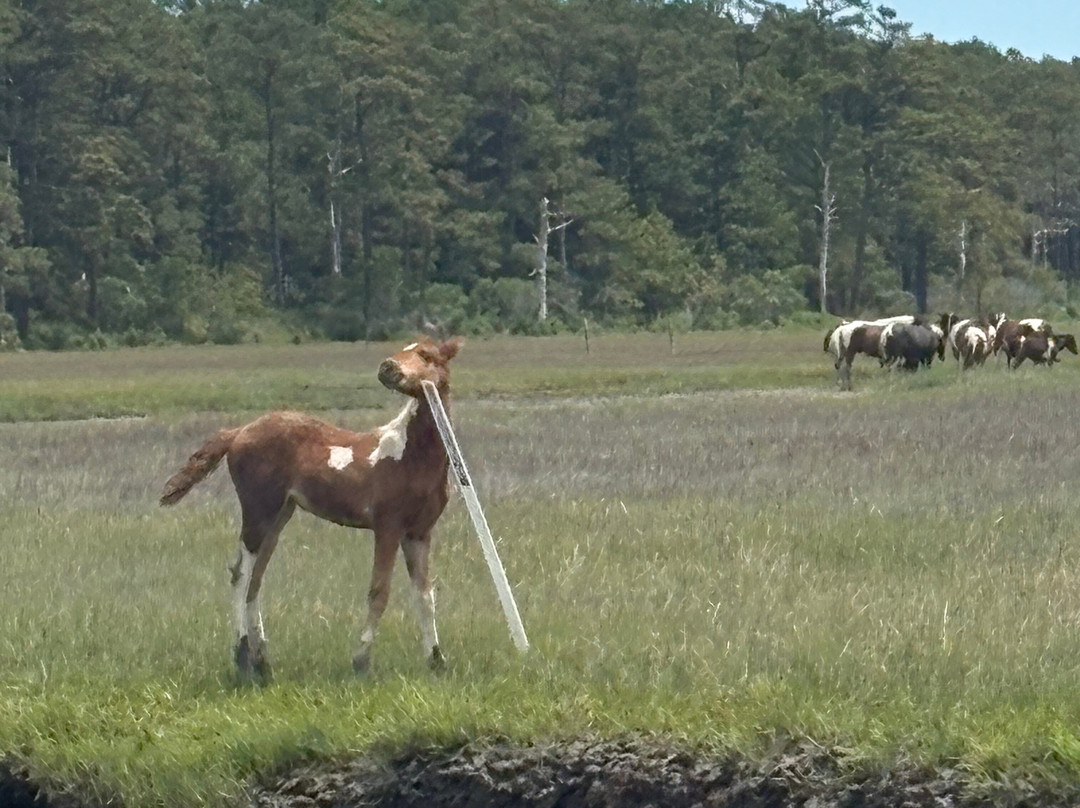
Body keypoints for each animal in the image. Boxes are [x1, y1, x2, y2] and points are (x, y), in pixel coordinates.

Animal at [159, 337, 463, 679]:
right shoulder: (388, 527)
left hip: (279, 517)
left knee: (255, 581)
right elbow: (379, 592)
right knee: (241, 574)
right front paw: (361, 661)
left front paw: (437, 661)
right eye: (403, 349)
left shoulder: (419, 532)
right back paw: (243, 657)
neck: (410, 454)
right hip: (258, 511)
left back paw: (262, 661)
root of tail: (238, 432)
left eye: (425, 354)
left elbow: (425, 595)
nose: (387, 368)